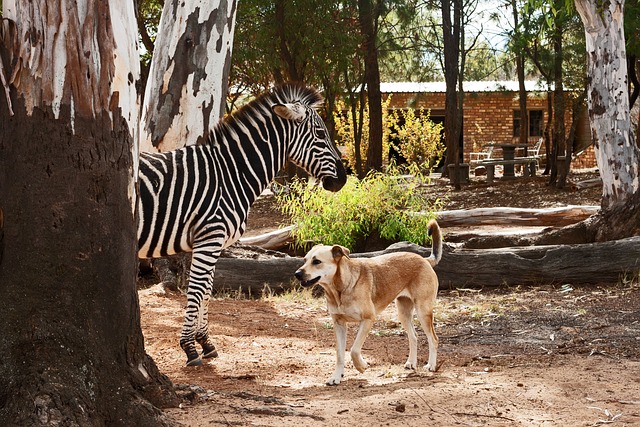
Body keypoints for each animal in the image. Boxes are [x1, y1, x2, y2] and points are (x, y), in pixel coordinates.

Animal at [138, 84, 348, 368]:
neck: (231, 173)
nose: (343, 179)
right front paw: (189, 348)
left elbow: (207, 290)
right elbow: (196, 291)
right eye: (320, 134)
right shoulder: (210, 237)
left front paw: (206, 343)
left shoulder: (209, 243)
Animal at [294, 221, 440, 384]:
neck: (341, 288)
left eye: (317, 262)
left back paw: (431, 365)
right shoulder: (339, 324)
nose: (297, 274)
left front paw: (361, 366)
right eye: (304, 260)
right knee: (414, 336)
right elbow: (339, 354)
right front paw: (337, 376)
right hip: (403, 312)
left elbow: (354, 350)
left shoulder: (368, 319)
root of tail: (425, 260)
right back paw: (411, 363)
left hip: (423, 311)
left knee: (433, 339)